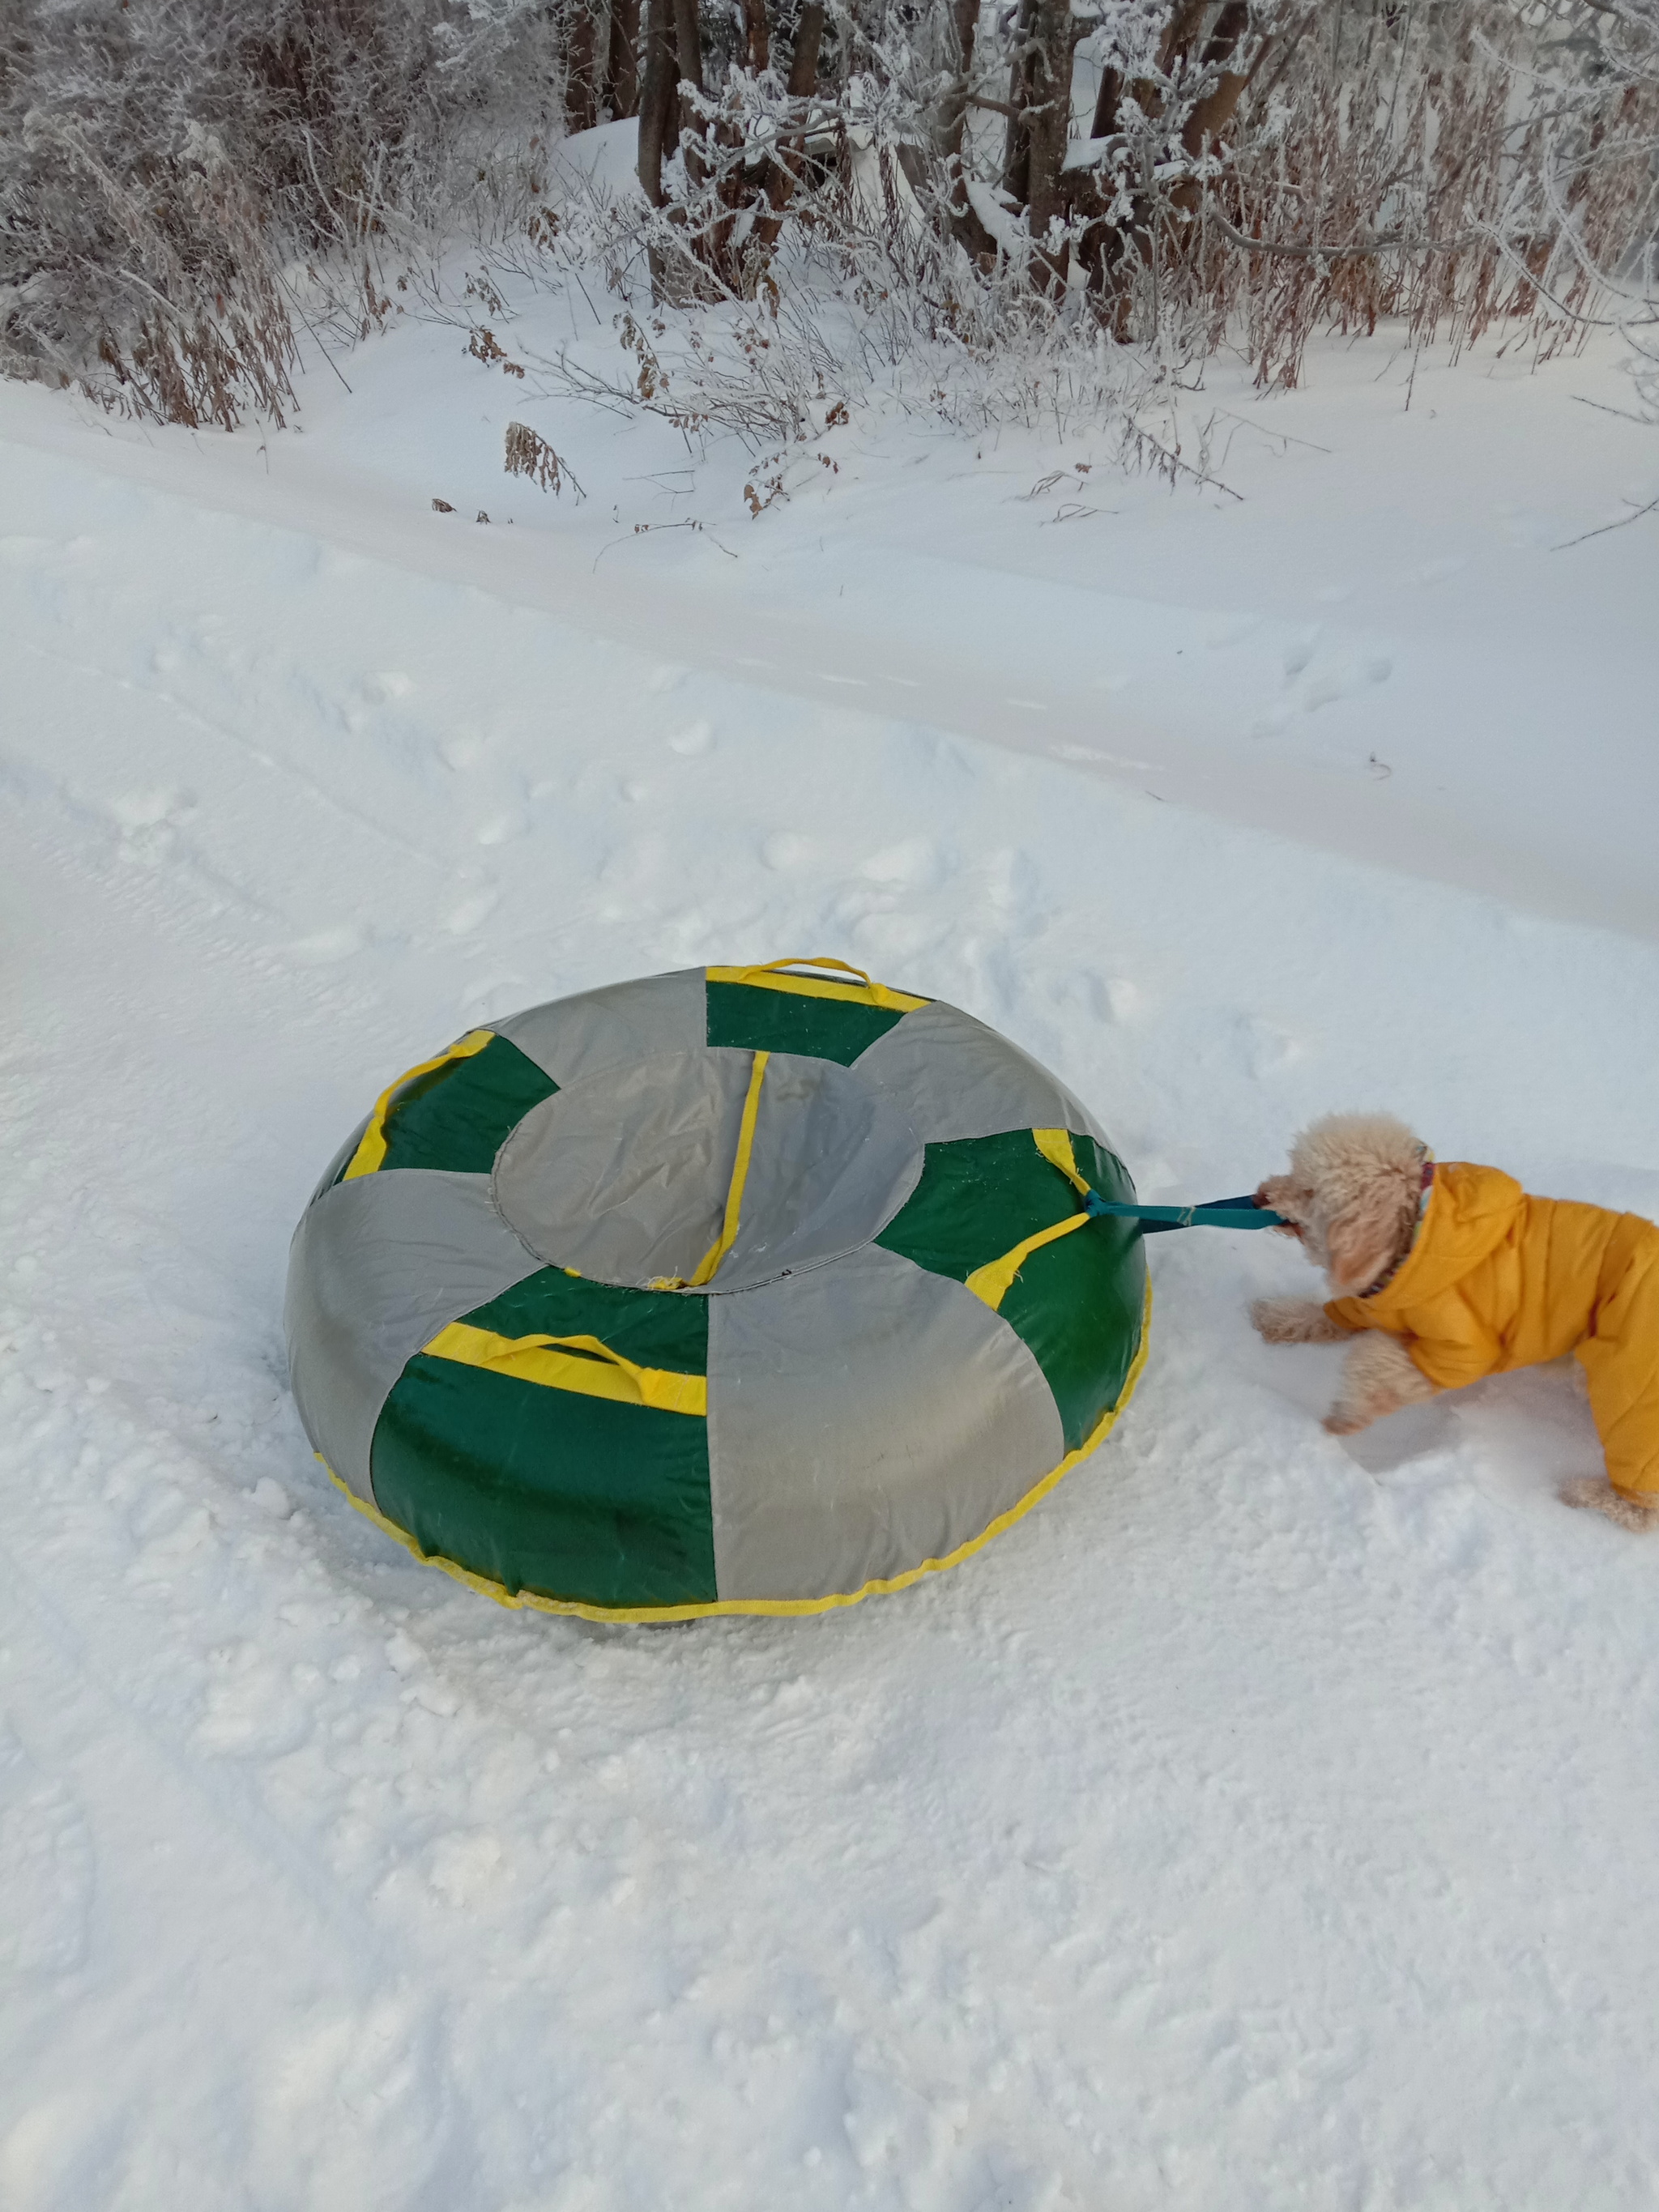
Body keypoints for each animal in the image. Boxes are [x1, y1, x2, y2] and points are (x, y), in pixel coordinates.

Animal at [1256, 1115, 1659, 1530]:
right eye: (1294, 1168)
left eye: (1310, 1191)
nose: (1259, 1197)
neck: (1414, 1243)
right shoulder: (1369, 1302)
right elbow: (1331, 1317)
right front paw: (1280, 1317)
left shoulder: (1461, 1351)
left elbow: (1376, 1361)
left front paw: (1345, 1417)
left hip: (1632, 1381)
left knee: (1643, 1508)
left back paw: (1591, 1496)